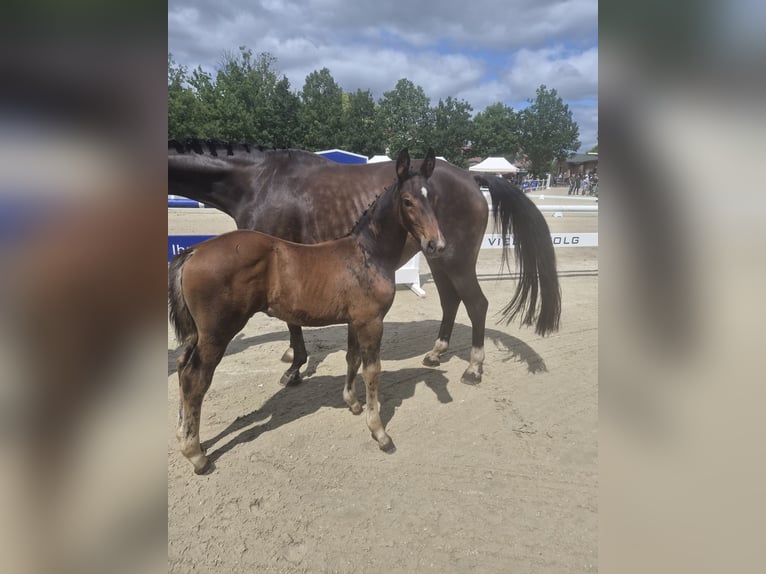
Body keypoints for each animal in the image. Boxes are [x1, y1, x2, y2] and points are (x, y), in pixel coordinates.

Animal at [168, 138, 560, 386]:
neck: (259, 181)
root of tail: (471, 175)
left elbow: (293, 323)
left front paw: (294, 368)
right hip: (437, 256)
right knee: (451, 301)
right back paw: (436, 353)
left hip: (456, 258)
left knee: (476, 304)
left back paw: (474, 369)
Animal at [168, 148, 445, 474]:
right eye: (408, 201)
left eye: (434, 198)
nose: (436, 244)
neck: (368, 253)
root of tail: (194, 252)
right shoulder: (371, 321)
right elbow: (372, 370)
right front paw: (379, 432)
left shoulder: (355, 320)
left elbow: (352, 359)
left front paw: (352, 403)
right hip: (216, 333)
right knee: (194, 378)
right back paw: (196, 454)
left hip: (198, 334)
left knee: (182, 367)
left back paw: (183, 435)